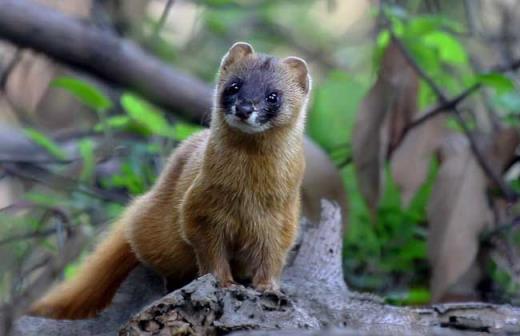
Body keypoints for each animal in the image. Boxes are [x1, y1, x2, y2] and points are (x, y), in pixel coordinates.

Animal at [29, 43, 308, 318]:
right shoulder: (200, 209)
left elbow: (271, 257)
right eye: (234, 85)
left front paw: (269, 288)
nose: (245, 108)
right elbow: (210, 252)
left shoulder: (281, 220)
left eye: (273, 96)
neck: (247, 194)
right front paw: (225, 283)